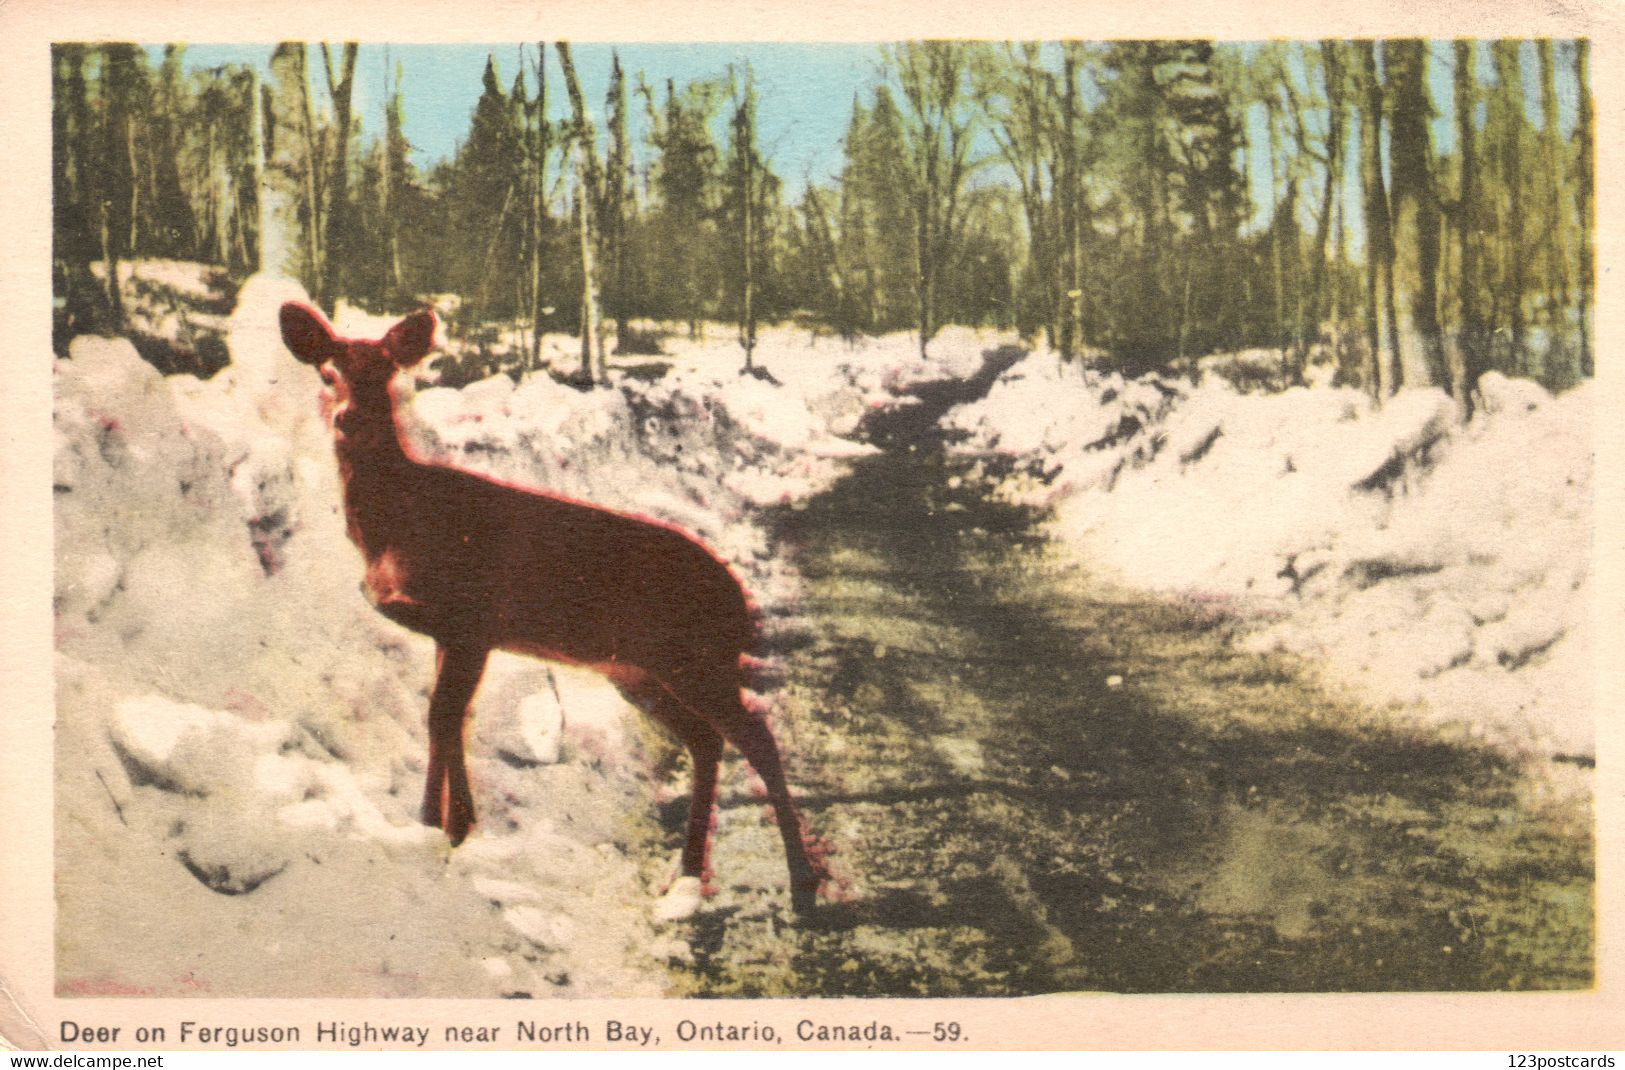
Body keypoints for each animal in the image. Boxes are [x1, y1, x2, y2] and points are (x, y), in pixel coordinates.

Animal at [276, 302, 825, 917]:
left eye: (385, 373)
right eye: (328, 373)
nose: (347, 418)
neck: (398, 526)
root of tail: (737, 597)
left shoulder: (471, 621)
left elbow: (444, 717)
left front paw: (444, 827)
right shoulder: (449, 633)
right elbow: (443, 719)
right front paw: (443, 825)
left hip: (695, 657)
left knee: (757, 736)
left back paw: (803, 886)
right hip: (637, 669)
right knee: (706, 740)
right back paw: (685, 877)